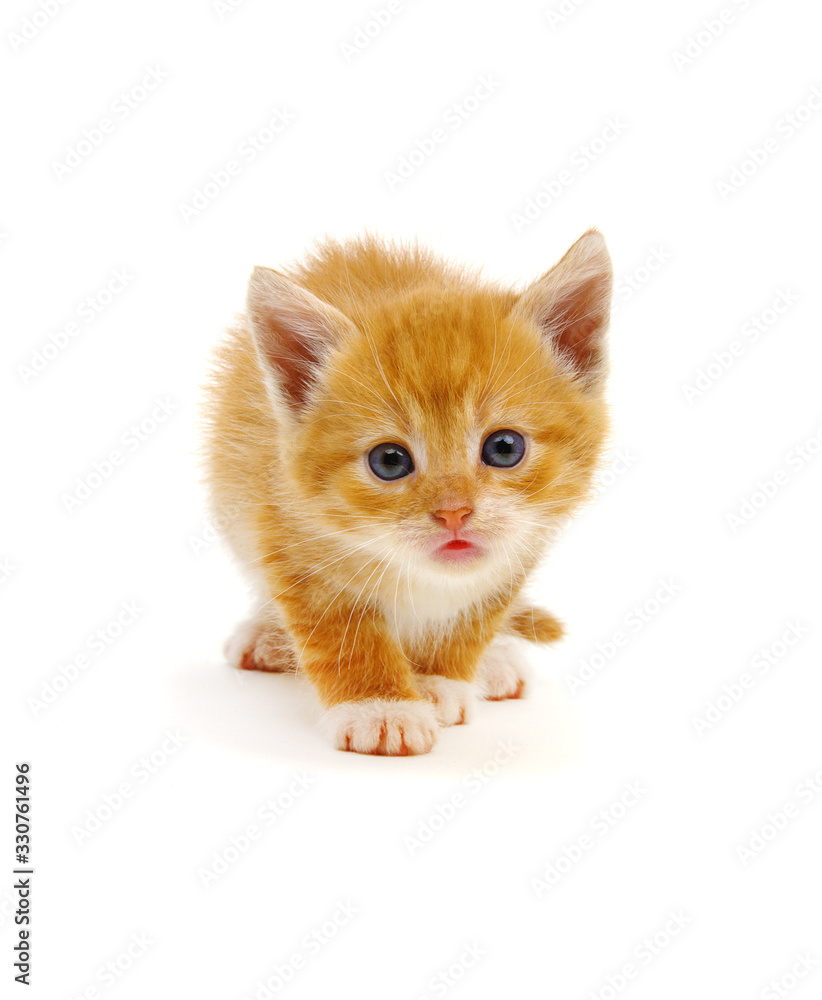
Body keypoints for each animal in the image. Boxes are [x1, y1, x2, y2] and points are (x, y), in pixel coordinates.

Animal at [204, 230, 616, 752]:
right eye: (389, 461)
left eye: (505, 448)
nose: (454, 513)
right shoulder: (287, 530)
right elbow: (341, 633)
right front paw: (380, 707)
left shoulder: (522, 545)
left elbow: (474, 617)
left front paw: (440, 680)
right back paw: (267, 635)